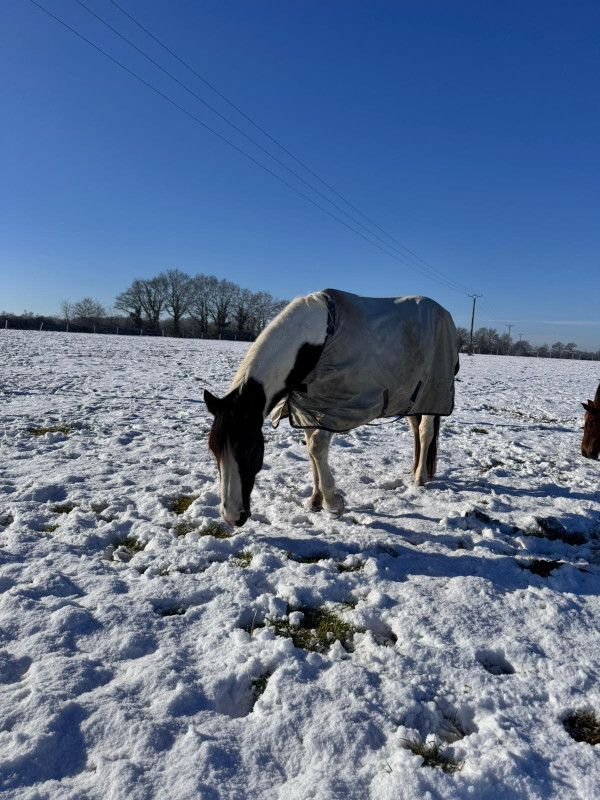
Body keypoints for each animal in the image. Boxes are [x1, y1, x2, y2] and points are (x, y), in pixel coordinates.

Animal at [204, 289, 459, 527]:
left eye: (248, 450)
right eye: (214, 451)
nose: (232, 517)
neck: (317, 342)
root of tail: (444, 313)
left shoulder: (333, 410)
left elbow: (317, 448)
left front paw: (333, 503)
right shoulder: (308, 409)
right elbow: (311, 451)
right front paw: (315, 500)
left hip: (432, 395)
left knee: (425, 432)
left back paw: (419, 479)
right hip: (410, 399)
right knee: (416, 431)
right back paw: (416, 471)